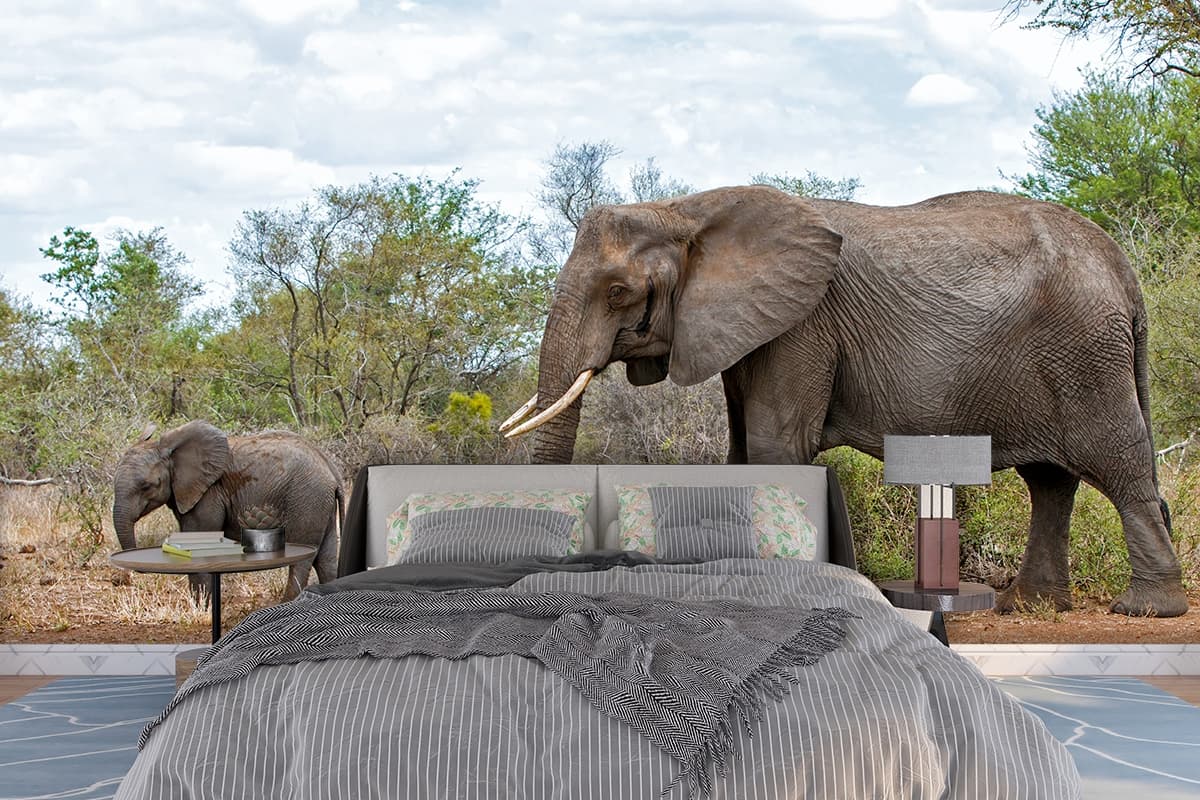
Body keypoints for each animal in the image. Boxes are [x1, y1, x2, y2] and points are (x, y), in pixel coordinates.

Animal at [112, 420, 343, 601]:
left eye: (147, 486)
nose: (125, 577)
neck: (173, 453)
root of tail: (331, 470)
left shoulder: (209, 493)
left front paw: (202, 609)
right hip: (320, 503)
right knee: (326, 559)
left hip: (307, 499)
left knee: (304, 559)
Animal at [502, 185, 1188, 618]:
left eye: (618, 292)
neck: (686, 210)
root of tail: (1124, 269)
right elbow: (742, 451)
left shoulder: (803, 324)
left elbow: (775, 447)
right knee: (1050, 481)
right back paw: (1032, 605)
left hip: (1087, 356)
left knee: (1120, 466)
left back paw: (1145, 610)